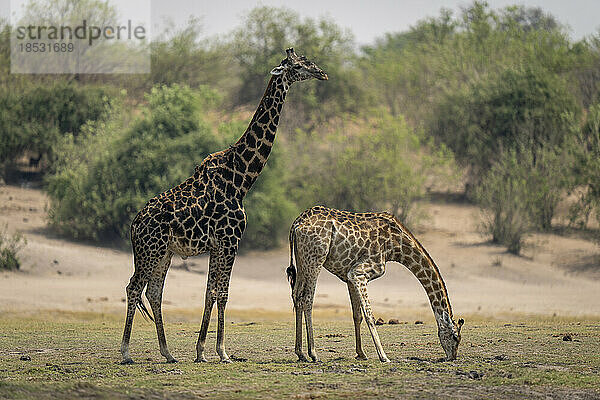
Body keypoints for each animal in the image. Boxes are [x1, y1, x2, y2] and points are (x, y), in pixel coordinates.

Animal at [121, 48, 328, 364]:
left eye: (307, 61)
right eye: (297, 66)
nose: (321, 73)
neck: (241, 179)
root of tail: (134, 225)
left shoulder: (217, 244)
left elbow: (210, 292)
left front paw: (201, 351)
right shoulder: (231, 240)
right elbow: (224, 293)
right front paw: (222, 351)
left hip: (163, 253)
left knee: (154, 292)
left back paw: (168, 353)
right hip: (150, 250)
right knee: (133, 287)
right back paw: (126, 352)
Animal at [286, 206, 464, 362]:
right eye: (455, 337)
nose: (452, 357)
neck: (396, 246)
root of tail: (296, 224)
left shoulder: (349, 277)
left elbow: (357, 315)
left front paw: (361, 353)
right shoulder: (359, 272)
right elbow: (369, 315)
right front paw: (383, 356)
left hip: (302, 261)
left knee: (297, 296)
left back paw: (300, 353)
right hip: (315, 259)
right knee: (307, 299)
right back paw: (314, 354)